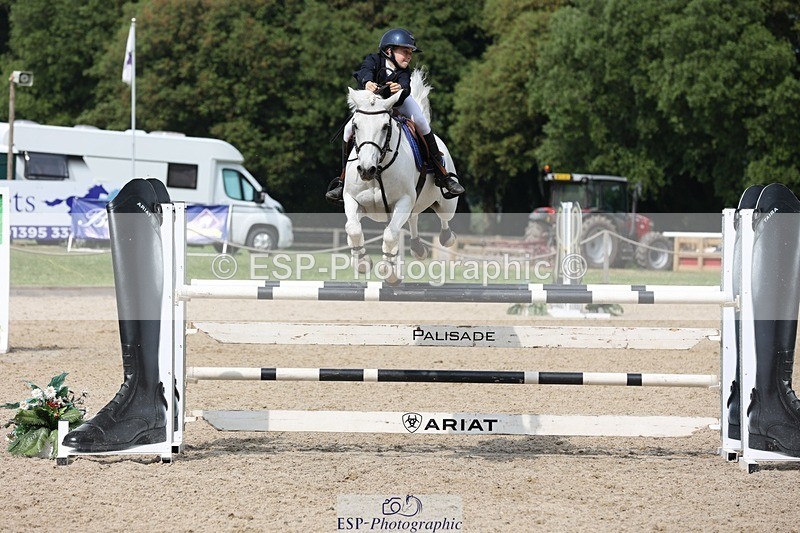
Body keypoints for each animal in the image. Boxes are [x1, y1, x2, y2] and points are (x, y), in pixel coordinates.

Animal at [343, 69, 458, 284]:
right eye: (355, 126)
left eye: (384, 127)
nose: (366, 170)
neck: (378, 171)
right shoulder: (352, 199)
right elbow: (352, 228)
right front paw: (362, 262)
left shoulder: (403, 201)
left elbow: (390, 235)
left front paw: (387, 270)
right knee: (412, 218)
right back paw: (417, 248)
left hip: (446, 203)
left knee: (443, 219)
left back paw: (446, 238)